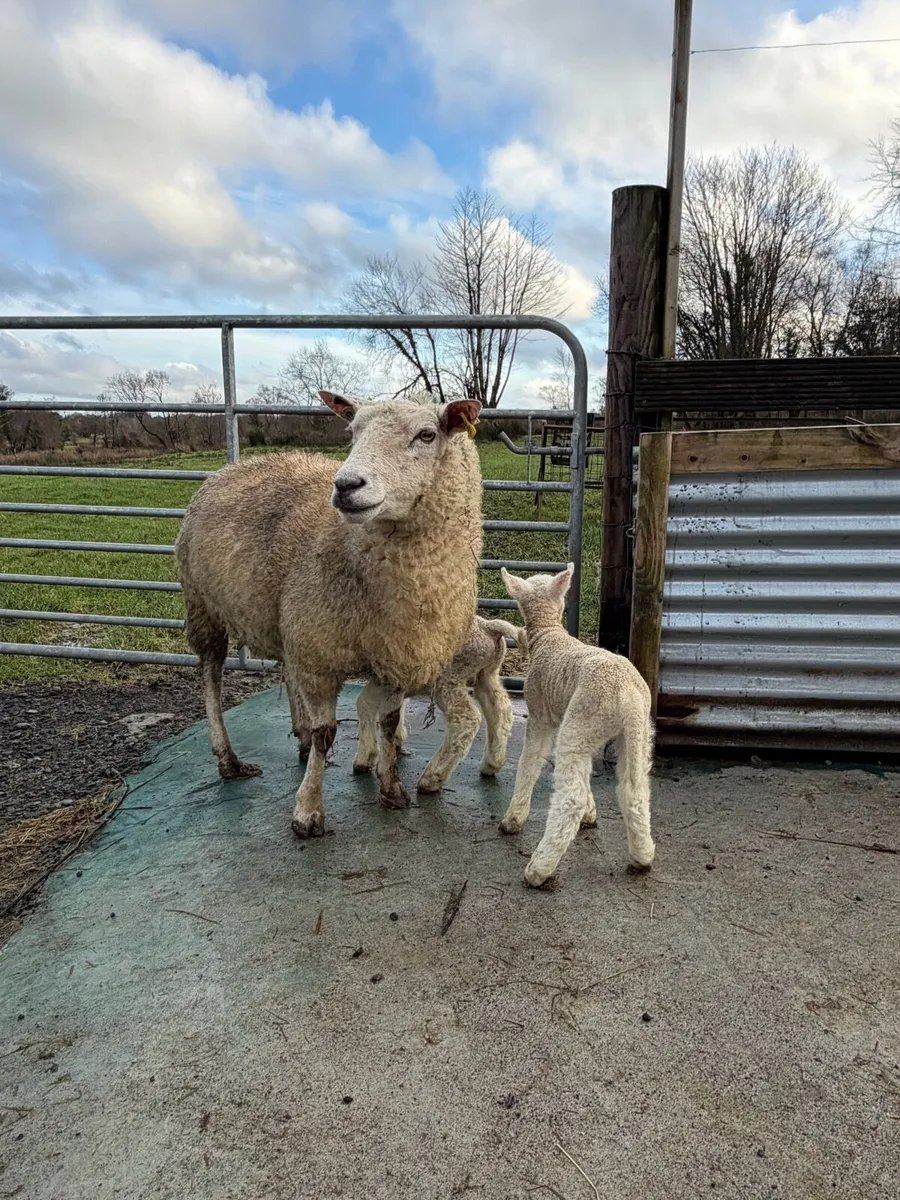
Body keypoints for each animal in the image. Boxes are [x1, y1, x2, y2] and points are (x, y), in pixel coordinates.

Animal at [174, 389, 483, 838]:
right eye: (352, 432)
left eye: (427, 434)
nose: (346, 485)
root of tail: (236, 465)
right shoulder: (319, 657)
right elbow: (328, 733)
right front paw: (307, 811)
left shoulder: (396, 657)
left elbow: (388, 724)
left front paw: (391, 790)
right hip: (203, 605)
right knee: (211, 675)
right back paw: (228, 759)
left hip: (289, 621)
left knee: (286, 670)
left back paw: (299, 739)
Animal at [352, 616, 523, 794]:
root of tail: (487, 627)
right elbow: (373, 703)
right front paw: (393, 740)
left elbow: (366, 703)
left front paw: (365, 758)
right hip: (487, 673)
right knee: (500, 707)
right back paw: (492, 763)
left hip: (449, 676)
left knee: (467, 718)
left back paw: (431, 779)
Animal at [498, 564, 656, 887]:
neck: (548, 634)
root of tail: (627, 696)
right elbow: (585, 775)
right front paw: (591, 814)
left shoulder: (540, 715)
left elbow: (529, 762)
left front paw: (513, 819)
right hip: (634, 732)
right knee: (634, 790)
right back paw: (642, 856)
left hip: (583, 720)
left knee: (570, 798)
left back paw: (539, 869)